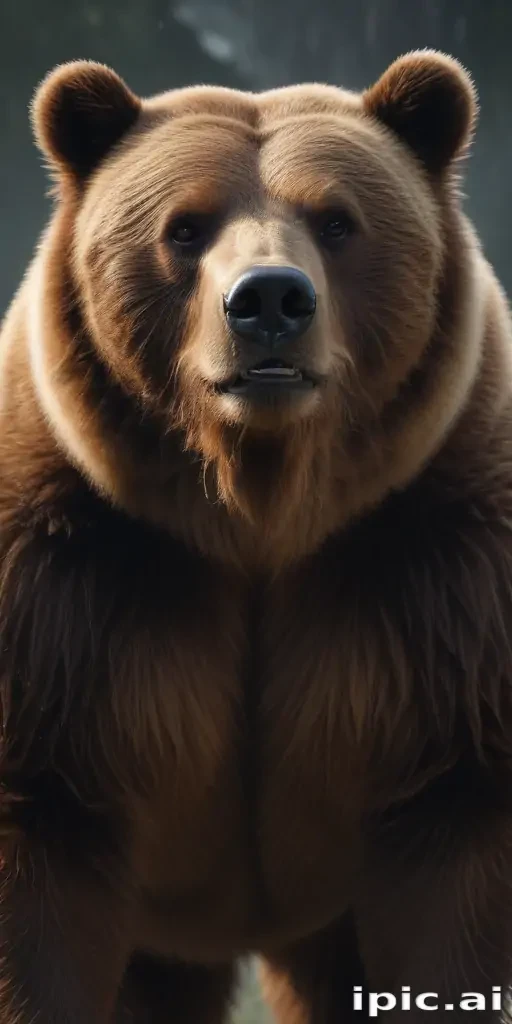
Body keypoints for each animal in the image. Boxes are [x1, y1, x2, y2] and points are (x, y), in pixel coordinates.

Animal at [0, 46, 511, 1023]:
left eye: (338, 221)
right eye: (184, 227)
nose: (270, 300)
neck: (258, 517)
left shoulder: (439, 580)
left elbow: (460, 851)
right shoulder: (67, 588)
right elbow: (39, 850)